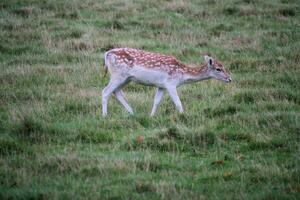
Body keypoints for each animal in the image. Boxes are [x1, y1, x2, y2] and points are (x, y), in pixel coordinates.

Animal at [102, 47, 231, 116]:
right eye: (218, 69)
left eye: (223, 66)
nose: (230, 79)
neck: (182, 76)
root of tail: (107, 54)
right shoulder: (171, 84)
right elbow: (178, 103)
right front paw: (183, 117)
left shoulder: (161, 86)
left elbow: (156, 102)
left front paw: (151, 116)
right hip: (118, 74)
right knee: (105, 91)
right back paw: (105, 116)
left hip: (127, 78)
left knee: (116, 92)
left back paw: (132, 113)